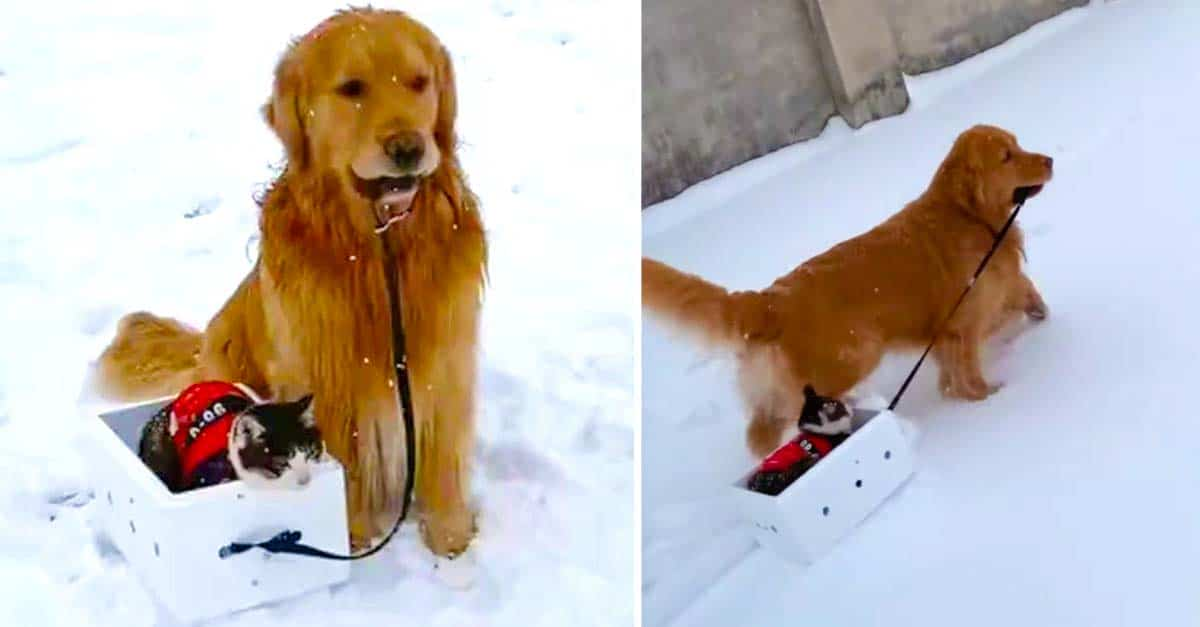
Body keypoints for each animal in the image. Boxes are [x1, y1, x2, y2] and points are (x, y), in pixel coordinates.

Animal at [648, 124, 1051, 454]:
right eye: (1006, 156)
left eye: (1017, 143)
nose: (1049, 159)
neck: (967, 215)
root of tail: (770, 300)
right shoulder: (963, 321)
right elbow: (970, 371)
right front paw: (989, 398)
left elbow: (1021, 296)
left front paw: (1038, 316)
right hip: (853, 357)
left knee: (760, 431)